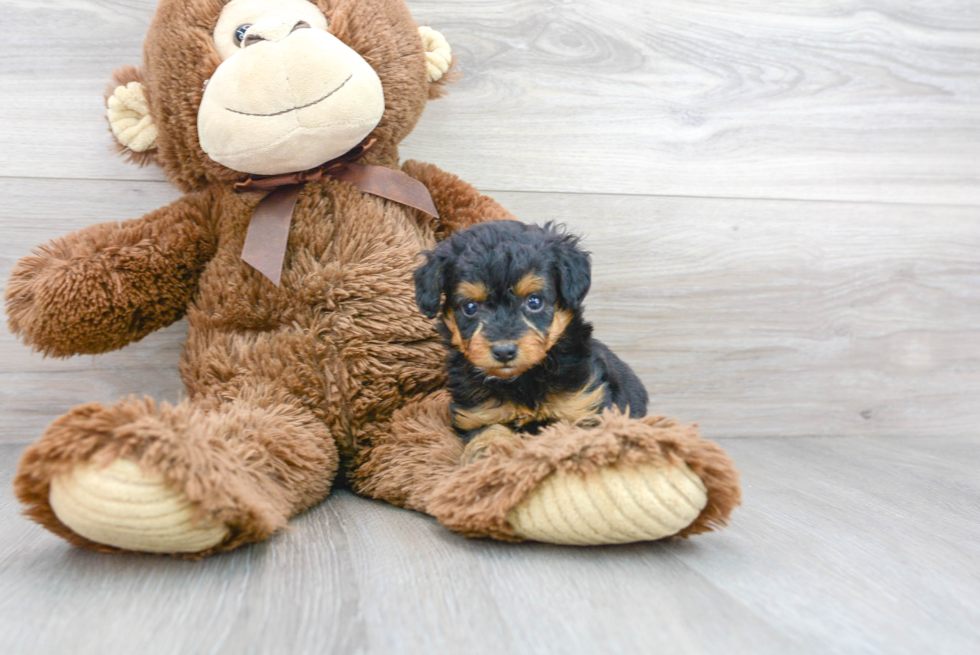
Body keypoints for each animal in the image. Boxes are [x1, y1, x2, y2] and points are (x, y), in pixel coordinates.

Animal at [416, 220, 652, 462]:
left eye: (534, 301)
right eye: (470, 307)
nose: (504, 351)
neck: (523, 378)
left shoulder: (585, 407)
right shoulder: (477, 415)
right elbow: (490, 429)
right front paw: (487, 451)